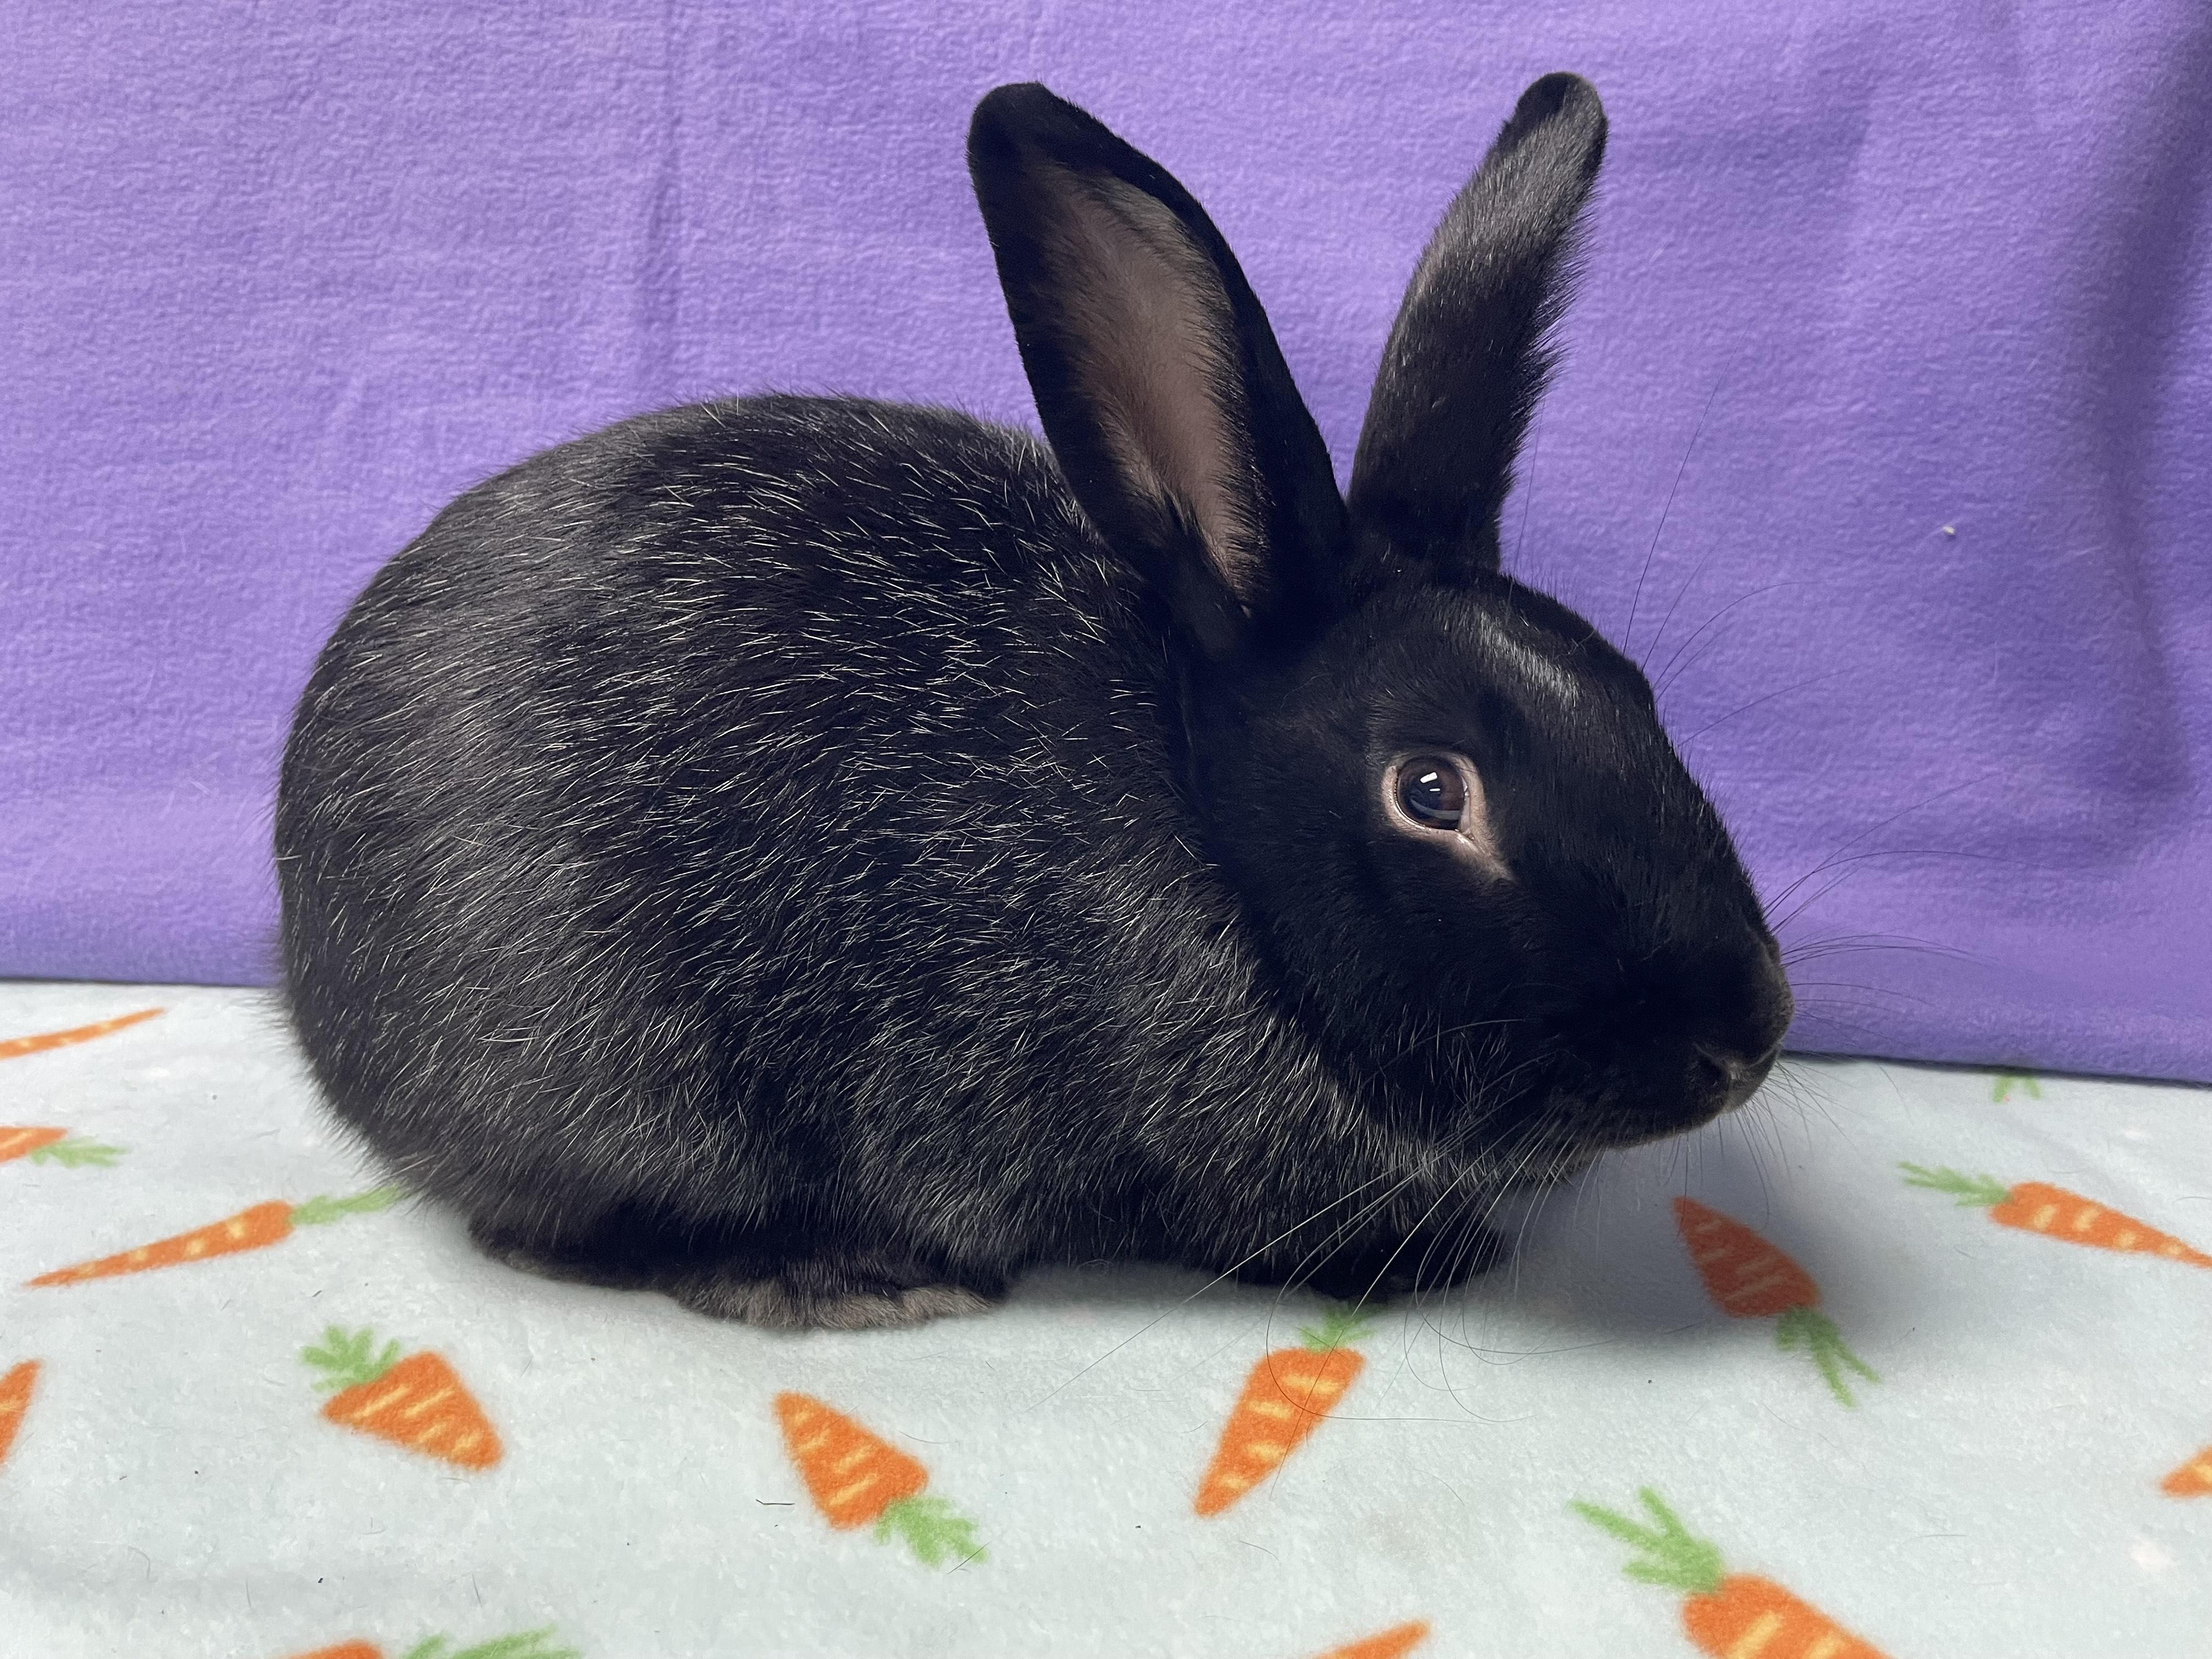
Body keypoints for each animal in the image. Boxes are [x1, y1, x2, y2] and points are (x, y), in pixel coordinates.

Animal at [275, 74, 1794, 1331]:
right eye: (1432, 791)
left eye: (1635, 689)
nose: (1751, 1038)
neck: (1210, 838)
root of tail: (314, 971)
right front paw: (1436, 1260)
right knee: (555, 1233)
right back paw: (836, 1276)